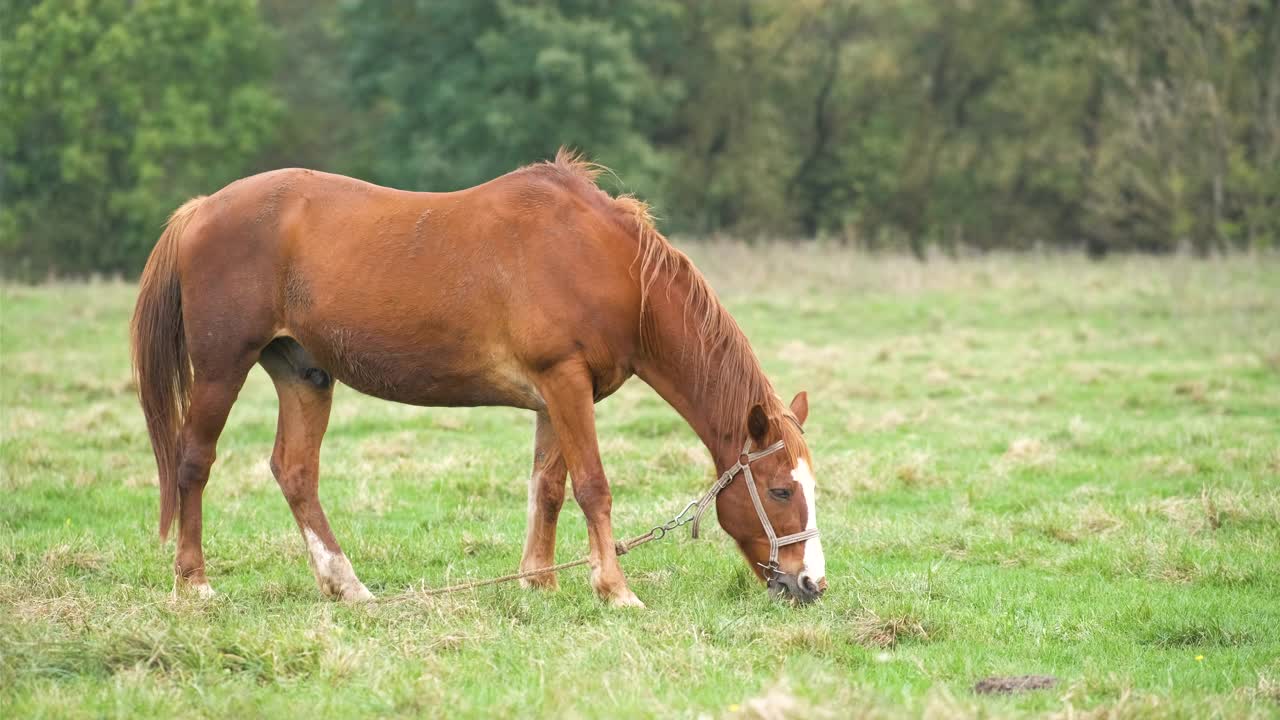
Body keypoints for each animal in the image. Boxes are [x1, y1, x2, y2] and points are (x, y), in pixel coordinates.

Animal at [132, 149, 829, 604]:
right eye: (779, 491)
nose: (811, 583)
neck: (606, 264)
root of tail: (200, 210)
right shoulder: (565, 382)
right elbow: (594, 487)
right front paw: (615, 589)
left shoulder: (557, 396)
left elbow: (549, 489)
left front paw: (539, 581)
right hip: (221, 368)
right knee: (194, 462)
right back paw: (194, 583)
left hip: (304, 373)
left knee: (295, 472)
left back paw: (346, 586)